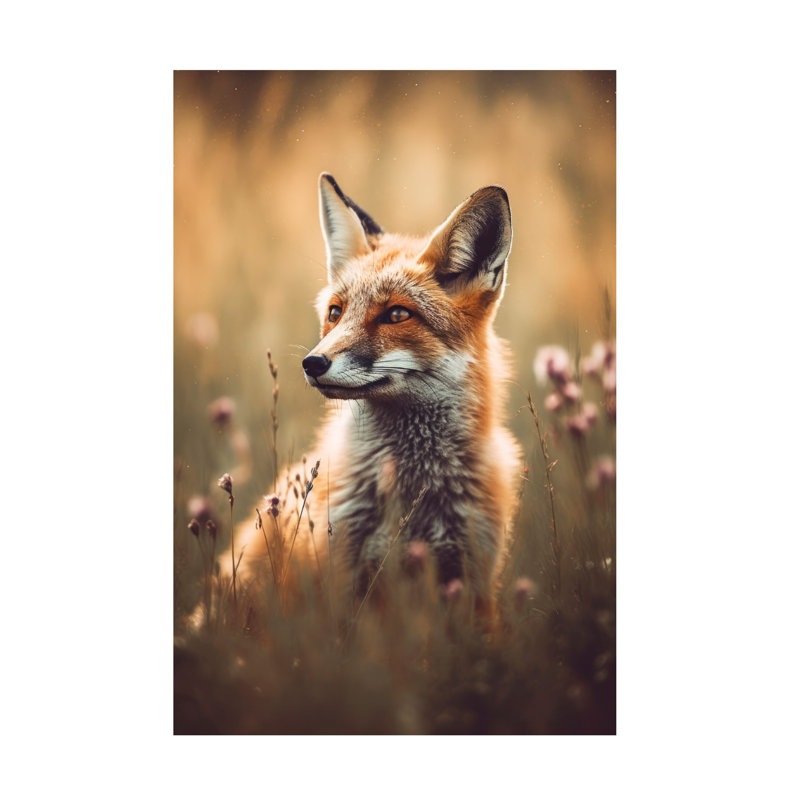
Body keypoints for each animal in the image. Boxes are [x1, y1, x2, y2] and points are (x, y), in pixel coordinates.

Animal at [217, 173, 522, 616]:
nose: (312, 363)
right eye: (336, 312)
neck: (412, 493)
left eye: (396, 314)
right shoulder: (340, 575)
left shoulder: (472, 579)